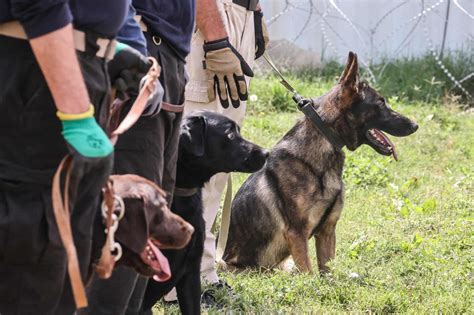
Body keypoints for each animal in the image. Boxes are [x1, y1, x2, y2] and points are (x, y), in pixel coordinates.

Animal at [223, 51, 418, 274]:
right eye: (380, 104)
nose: (415, 125)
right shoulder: (297, 234)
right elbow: (309, 274)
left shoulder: (327, 231)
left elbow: (328, 272)